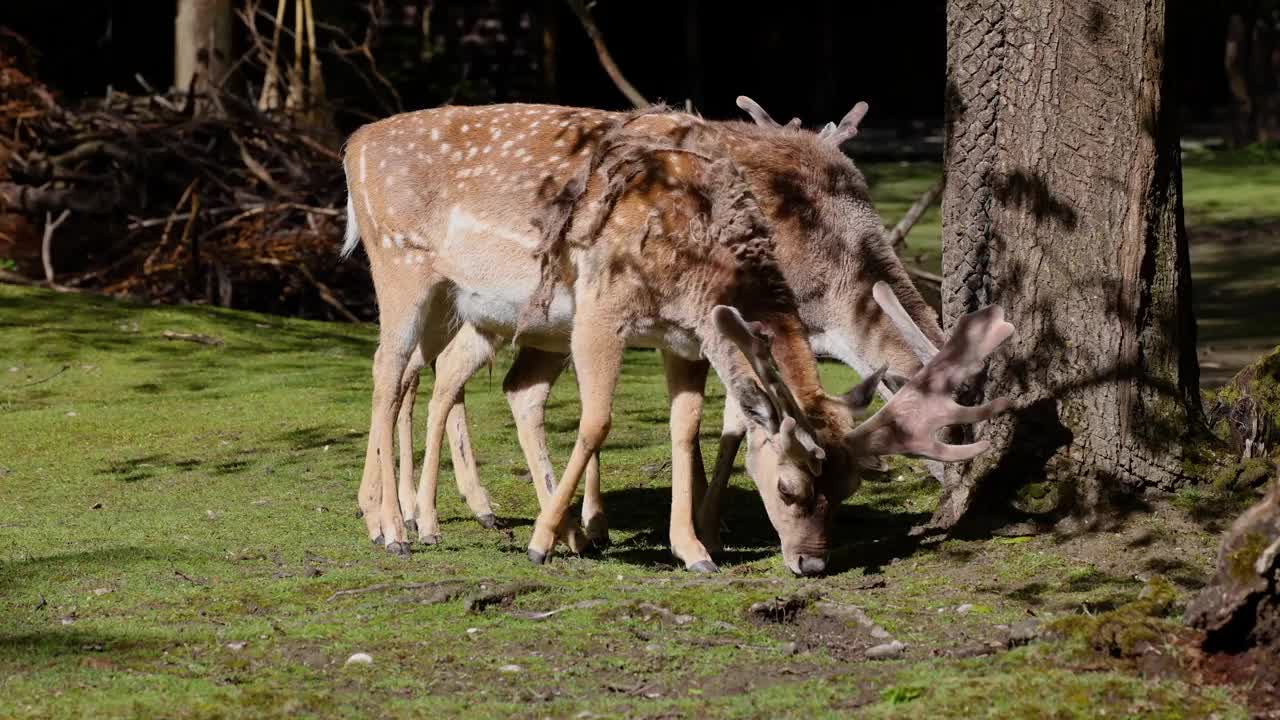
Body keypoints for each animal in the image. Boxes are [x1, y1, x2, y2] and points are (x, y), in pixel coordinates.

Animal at [343, 102, 1008, 571]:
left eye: (848, 491)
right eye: (954, 429)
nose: (962, 486)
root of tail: (354, 145)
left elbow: (696, 423)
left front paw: (684, 535)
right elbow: (730, 421)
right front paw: (707, 527)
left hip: (488, 312)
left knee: (473, 381)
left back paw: (468, 515)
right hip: (404, 268)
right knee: (392, 371)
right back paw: (398, 526)